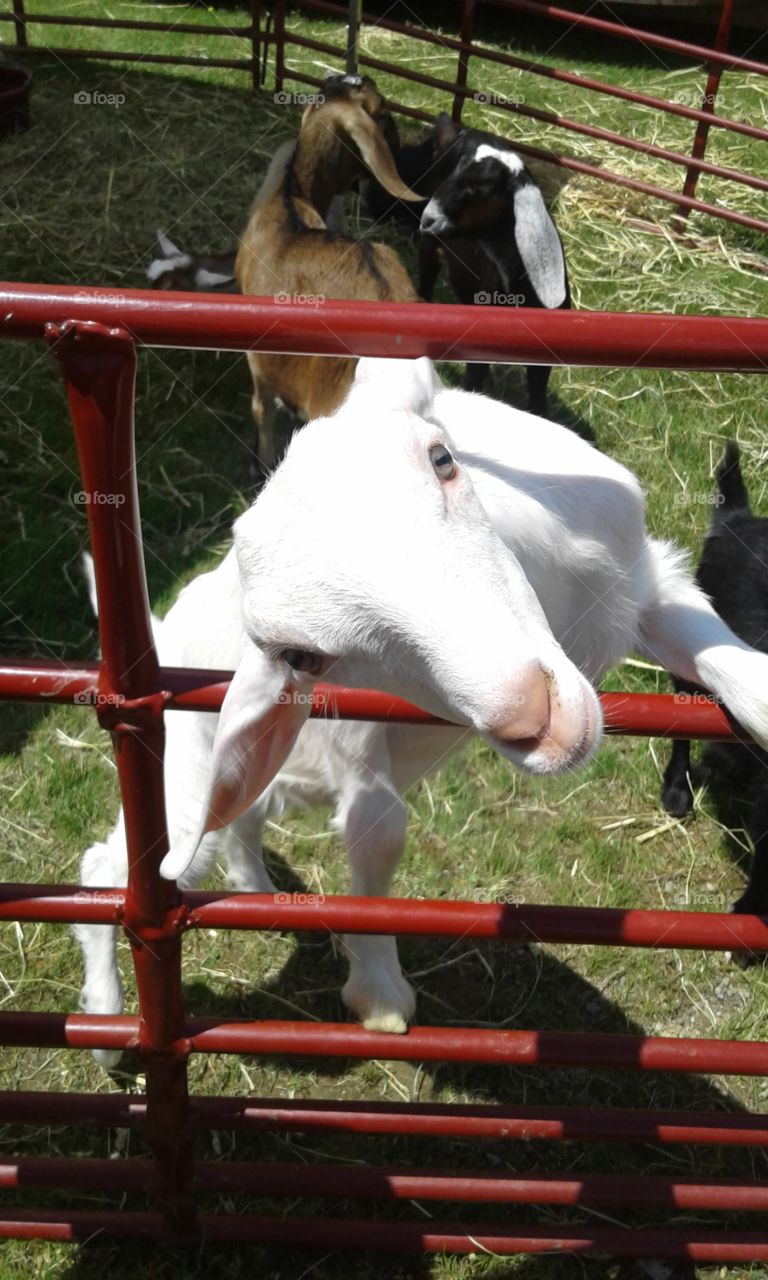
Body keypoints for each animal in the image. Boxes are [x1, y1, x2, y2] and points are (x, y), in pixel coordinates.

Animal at [75, 360, 768, 1067]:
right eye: (303, 656)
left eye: (442, 460)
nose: (534, 718)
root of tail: (164, 630)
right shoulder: (354, 747)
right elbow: (377, 833)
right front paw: (380, 994)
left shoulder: (649, 585)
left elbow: (746, 682)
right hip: (185, 781)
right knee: (110, 866)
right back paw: (106, 1027)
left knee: (241, 824)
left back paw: (269, 904)